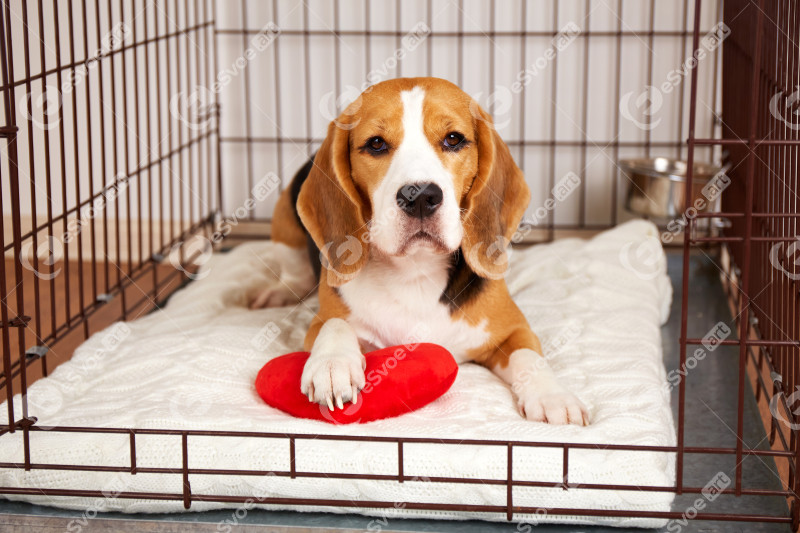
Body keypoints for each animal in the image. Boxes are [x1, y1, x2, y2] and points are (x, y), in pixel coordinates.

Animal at [255, 77, 588, 424]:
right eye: (376, 144)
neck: (415, 270)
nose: (419, 197)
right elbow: (335, 324)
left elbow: (529, 355)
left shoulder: (513, 329)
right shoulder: (320, 322)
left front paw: (553, 396)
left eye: (453, 139)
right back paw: (277, 293)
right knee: (292, 274)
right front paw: (332, 365)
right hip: (284, 218)